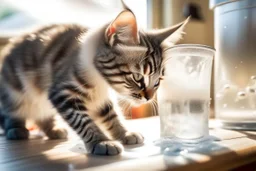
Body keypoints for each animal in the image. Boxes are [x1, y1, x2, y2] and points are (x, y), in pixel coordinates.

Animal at [0, 7, 188, 155]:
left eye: (158, 80)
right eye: (138, 77)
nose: (149, 97)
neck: (101, 83)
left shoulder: (101, 99)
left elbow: (112, 116)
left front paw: (124, 133)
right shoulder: (63, 92)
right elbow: (83, 120)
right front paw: (101, 142)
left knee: (42, 117)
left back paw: (53, 129)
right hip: (15, 93)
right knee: (12, 112)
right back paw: (16, 128)